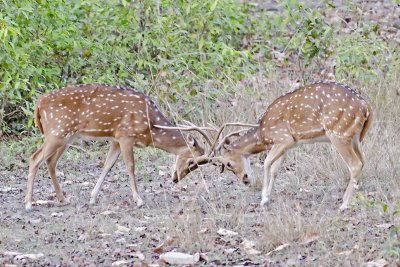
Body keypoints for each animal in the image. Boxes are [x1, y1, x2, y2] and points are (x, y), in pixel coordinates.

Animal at [25, 84, 212, 211]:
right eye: (192, 162)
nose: (175, 179)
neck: (151, 127)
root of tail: (39, 104)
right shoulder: (126, 135)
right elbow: (130, 166)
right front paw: (138, 200)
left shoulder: (115, 139)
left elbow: (107, 165)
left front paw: (92, 198)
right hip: (57, 131)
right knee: (34, 158)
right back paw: (28, 203)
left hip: (67, 136)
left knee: (50, 161)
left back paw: (62, 199)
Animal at [214, 81, 374, 211]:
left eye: (228, 164)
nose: (245, 180)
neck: (263, 134)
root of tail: (366, 107)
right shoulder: (286, 145)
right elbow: (275, 169)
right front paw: (267, 199)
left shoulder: (283, 138)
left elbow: (266, 163)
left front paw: (263, 199)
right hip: (354, 138)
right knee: (363, 161)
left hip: (339, 133)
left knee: (355, 164)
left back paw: (344, 204)